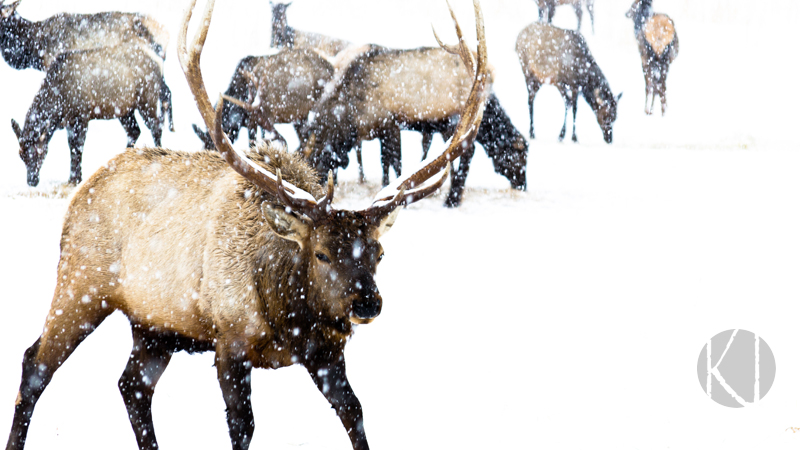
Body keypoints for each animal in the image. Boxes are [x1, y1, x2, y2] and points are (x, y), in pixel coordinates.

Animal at [11, 42, 173, 187]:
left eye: (40, 153)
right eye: (21, 155)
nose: (32, 181)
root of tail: (157, 63)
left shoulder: (82, 114)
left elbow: (77, 146)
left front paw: (76, 178)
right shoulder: (69, 120)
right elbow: (71, 146)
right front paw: (73, 177)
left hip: (147, 98)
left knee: (156, 127)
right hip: (124, 109)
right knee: (134, 130)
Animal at [192, 47, 334, 150]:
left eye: (215, 148)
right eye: (204, 148)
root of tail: (332, 67)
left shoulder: (262, 114)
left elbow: (254, 142)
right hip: (300, 117)